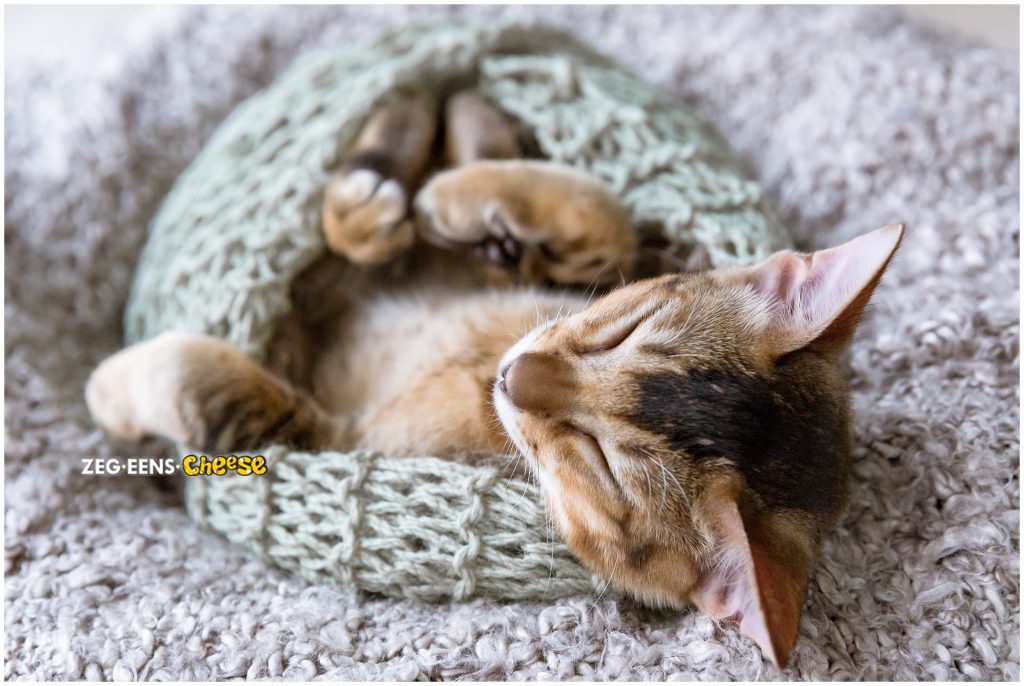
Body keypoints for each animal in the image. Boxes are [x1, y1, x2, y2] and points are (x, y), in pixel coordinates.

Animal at [88, 90, 905, 667]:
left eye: (601, 464)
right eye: (625, 329)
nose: (516, 376)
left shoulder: (326, 435)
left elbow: (202, 379)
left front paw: (111, 387)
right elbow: (604, 214)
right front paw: (461, 177)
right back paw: (411, 132)